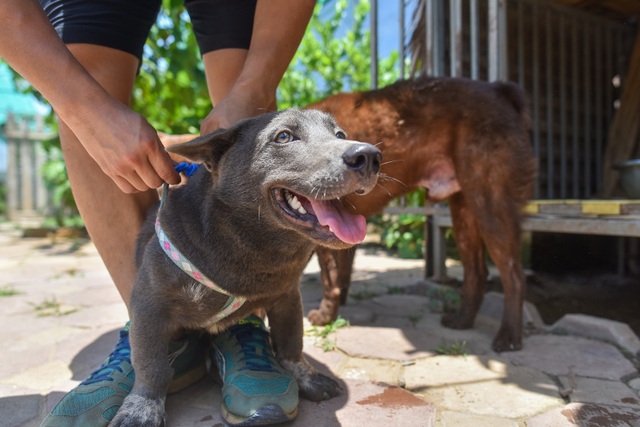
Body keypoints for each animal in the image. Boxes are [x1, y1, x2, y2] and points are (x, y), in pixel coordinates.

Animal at [108, 110, 380, 427]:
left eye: (340, 135)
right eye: (284, 136)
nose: (369, 156)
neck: (254, 247)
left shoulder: (287, 299)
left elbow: (291, 344)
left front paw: (307, 378)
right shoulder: (149, 309)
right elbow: (151, 366)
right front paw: (142, 408)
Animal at [308, 77, 536, 354]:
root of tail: (499, 90)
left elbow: (328, 279)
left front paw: (325, 317)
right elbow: (340, 275)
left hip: (490, 205)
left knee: (513, 274)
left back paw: (509, 336)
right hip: (464, 213)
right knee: (476, 272)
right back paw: (462, 320)